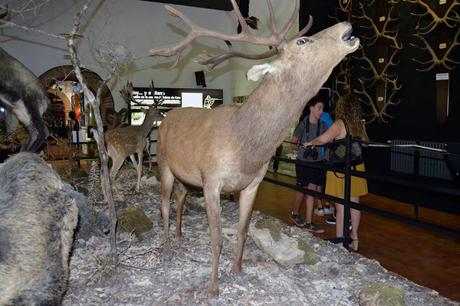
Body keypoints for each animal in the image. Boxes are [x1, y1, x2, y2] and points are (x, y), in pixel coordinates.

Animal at [151, 0, 360, 296]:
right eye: (303, 40)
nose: (346, 24)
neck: (245, 148)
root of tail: (165, 118)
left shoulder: (252, 184)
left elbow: (242, 231)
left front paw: (237, 271)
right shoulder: (211, 180)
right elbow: (216, 238)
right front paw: (212, 288)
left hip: (186, 175)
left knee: (179, 197)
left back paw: (180, 237)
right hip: (164, 163)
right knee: (164, 206)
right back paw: (168, 248)